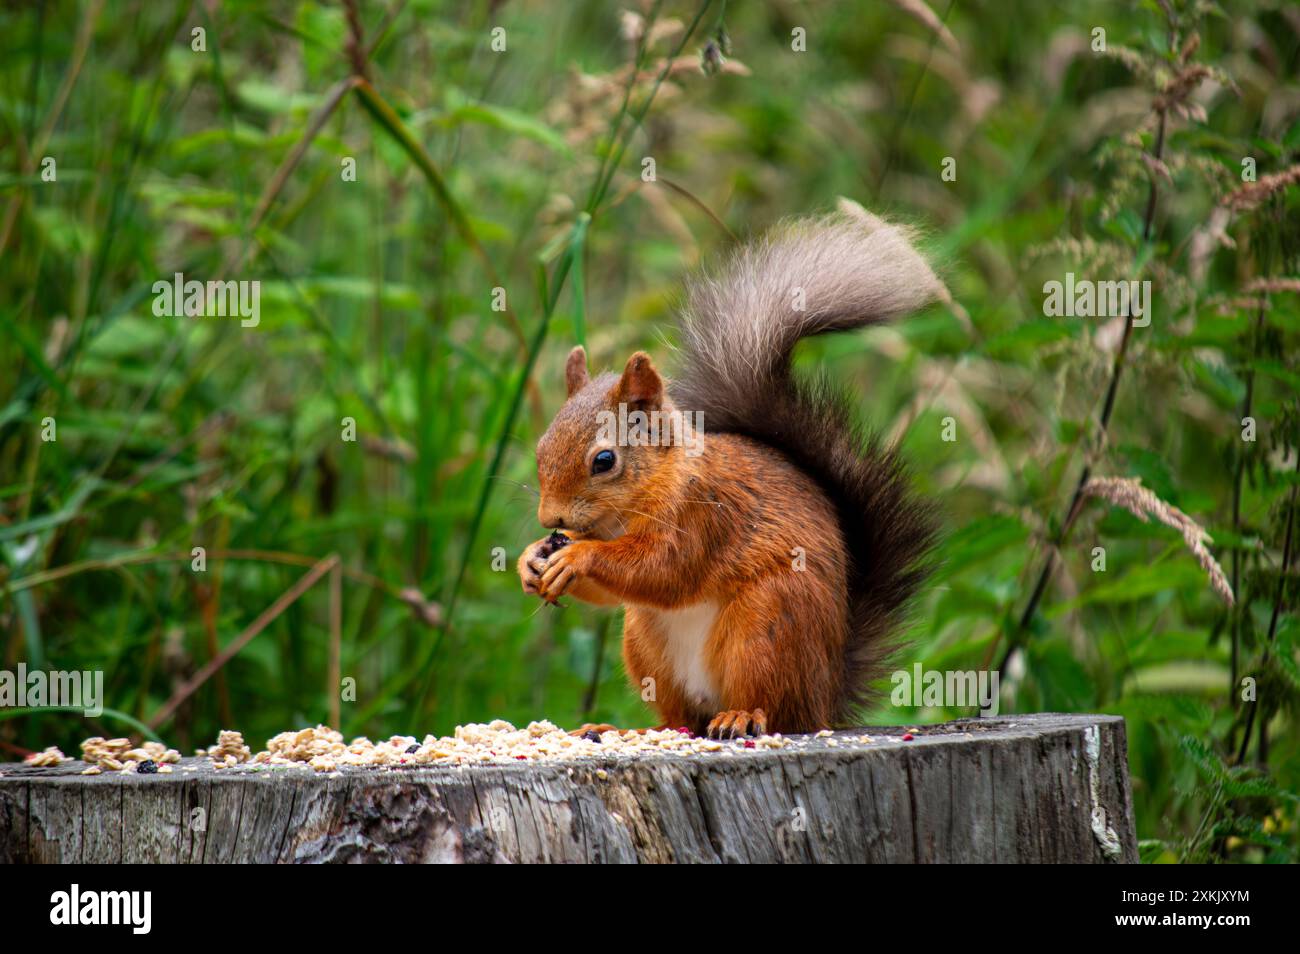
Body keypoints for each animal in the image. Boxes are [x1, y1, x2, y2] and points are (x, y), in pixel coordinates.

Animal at [522, 210, 941, 738]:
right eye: (540, 448)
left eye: (604, 461)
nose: (549, 519)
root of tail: (826, 698)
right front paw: (531, 560)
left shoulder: (705, 515)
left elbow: (662, 569)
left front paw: (577, 557)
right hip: (646, 643)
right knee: (678, 719)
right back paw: (625, 730)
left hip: (767, 625)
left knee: (772, 707)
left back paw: (742, 715)